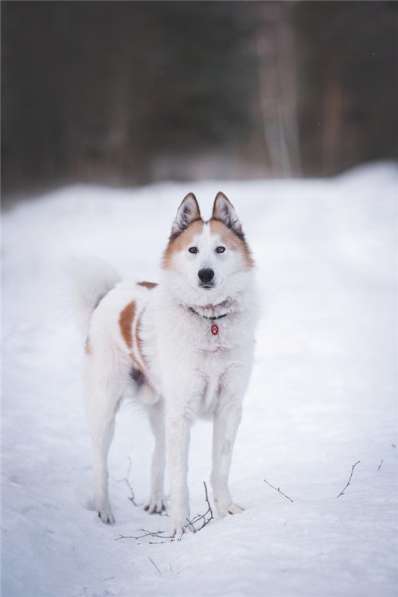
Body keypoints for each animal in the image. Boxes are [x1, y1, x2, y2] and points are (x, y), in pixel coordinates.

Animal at [84, 193, 258, 536]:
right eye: (193, 250)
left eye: (220, 249)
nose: (206, 274)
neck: (209, 320)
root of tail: (111, 292)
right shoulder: (182, 413)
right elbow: (180, 478)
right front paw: (179, 526)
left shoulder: (228, 408)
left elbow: (220, 467)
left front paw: (226, 511)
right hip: (106, 408)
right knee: (100, 463)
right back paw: (104, 510)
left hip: (162, 410)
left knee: (157, 453)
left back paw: (154, 501)